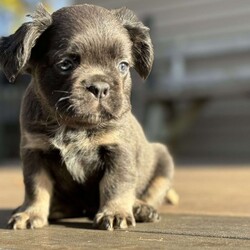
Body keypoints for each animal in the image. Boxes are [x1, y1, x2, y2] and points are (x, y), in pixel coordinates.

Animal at [0, 3, 178, 230]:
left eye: (123, 66)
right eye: (65, 64)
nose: (100, 87)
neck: (74, 124)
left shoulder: (118, 151)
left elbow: (116, 183)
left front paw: (115, 212)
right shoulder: (35, 152)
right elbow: (36, 187)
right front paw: (31, 213)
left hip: (163, 161)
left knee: (150, 193)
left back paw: (140, 208)